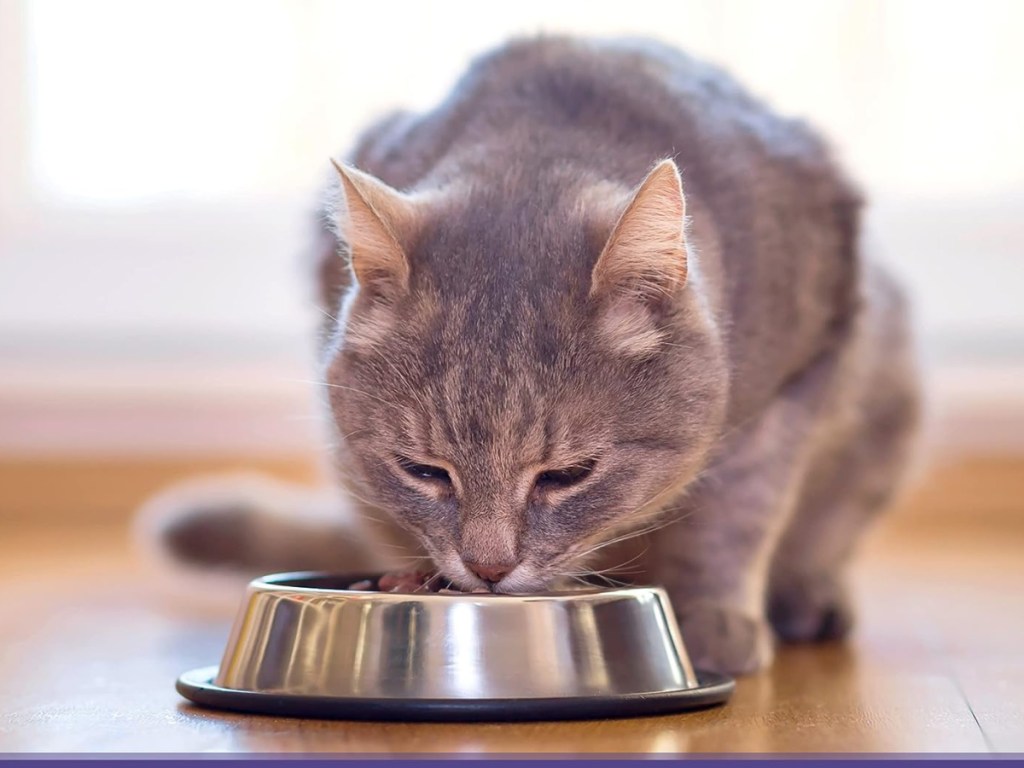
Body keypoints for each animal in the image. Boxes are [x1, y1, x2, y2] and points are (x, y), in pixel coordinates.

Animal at [136, 36, 921, 671]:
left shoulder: (799, 376)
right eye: (424, 471)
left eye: (567, 476)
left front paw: (713, 617)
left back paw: (807, 597)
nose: (487, 568)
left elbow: (740, 510)